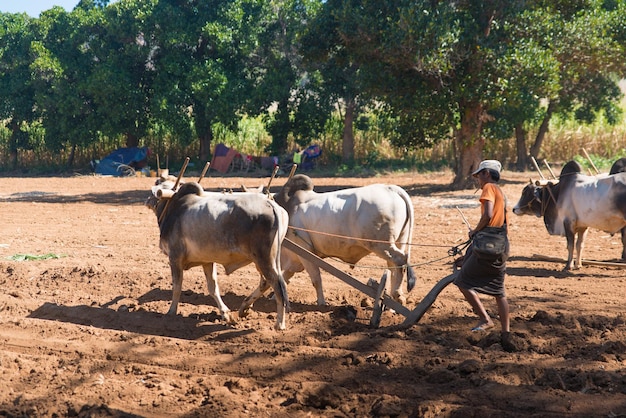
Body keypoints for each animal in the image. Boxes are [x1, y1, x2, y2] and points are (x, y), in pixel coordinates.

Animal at [147, 180, 290, 330]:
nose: (147, 200)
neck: (174, 207)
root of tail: (271, 204)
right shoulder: (207, 262)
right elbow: (213, 288)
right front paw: (227, 315)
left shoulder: (174, 258)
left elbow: (176, 287)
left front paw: (171, 312)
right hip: (265, 261)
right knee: (266, 283)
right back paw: (244, 307)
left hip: (264, 260)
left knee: (278, 286)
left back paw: (279, 323)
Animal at [272, 175, 414, 306]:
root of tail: (390, 188)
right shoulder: (294, 260)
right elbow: (284, 278)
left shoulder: (305, 251)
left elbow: (316, 278)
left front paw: (321, 303)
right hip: (399, 241)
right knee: (393, 266)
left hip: (381, 245)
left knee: (400, 260)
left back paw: (398, 295)